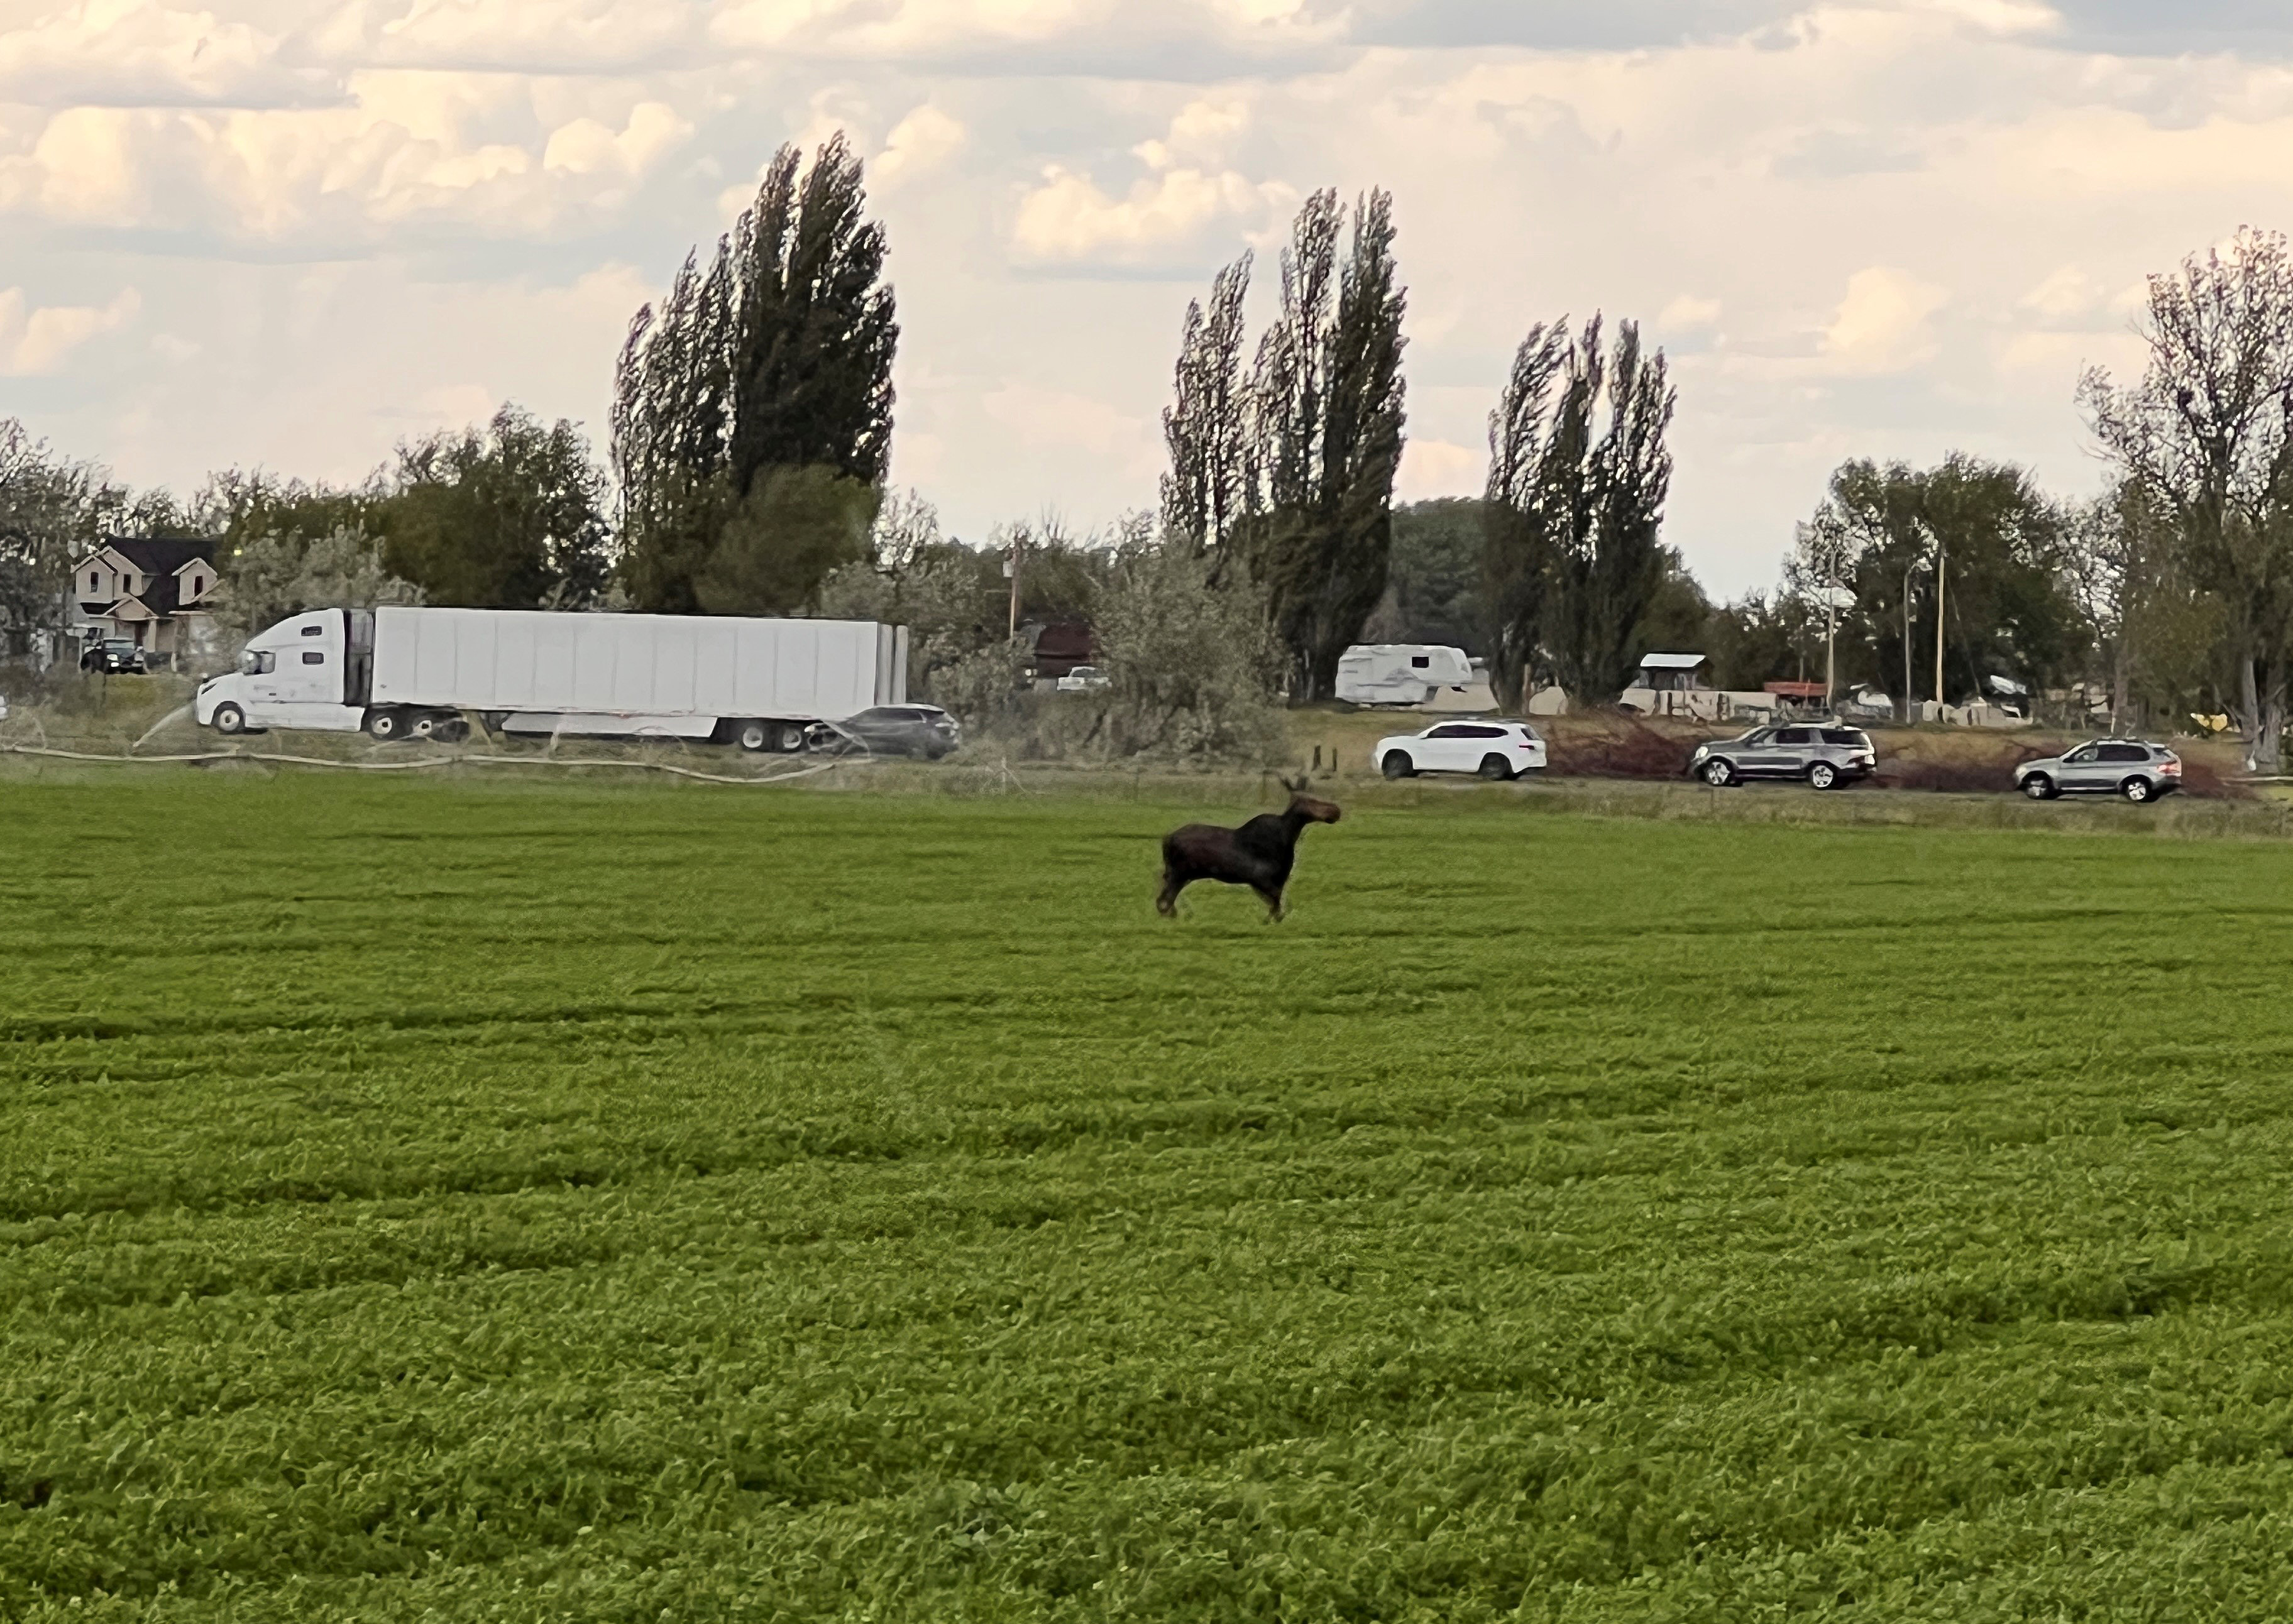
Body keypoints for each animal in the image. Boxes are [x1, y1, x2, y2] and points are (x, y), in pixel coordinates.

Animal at [1155, 775, 1339, 922]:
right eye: (1312, 800)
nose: (1336, 811)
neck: (1288, 836)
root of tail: (1167, 839)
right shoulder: (1260, 878)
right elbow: (1276, 909)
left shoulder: (1278, 879)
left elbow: (1277, 907)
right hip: (1179, 872)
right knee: (1164, 899)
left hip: (1182, 874)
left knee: (1165, 896)